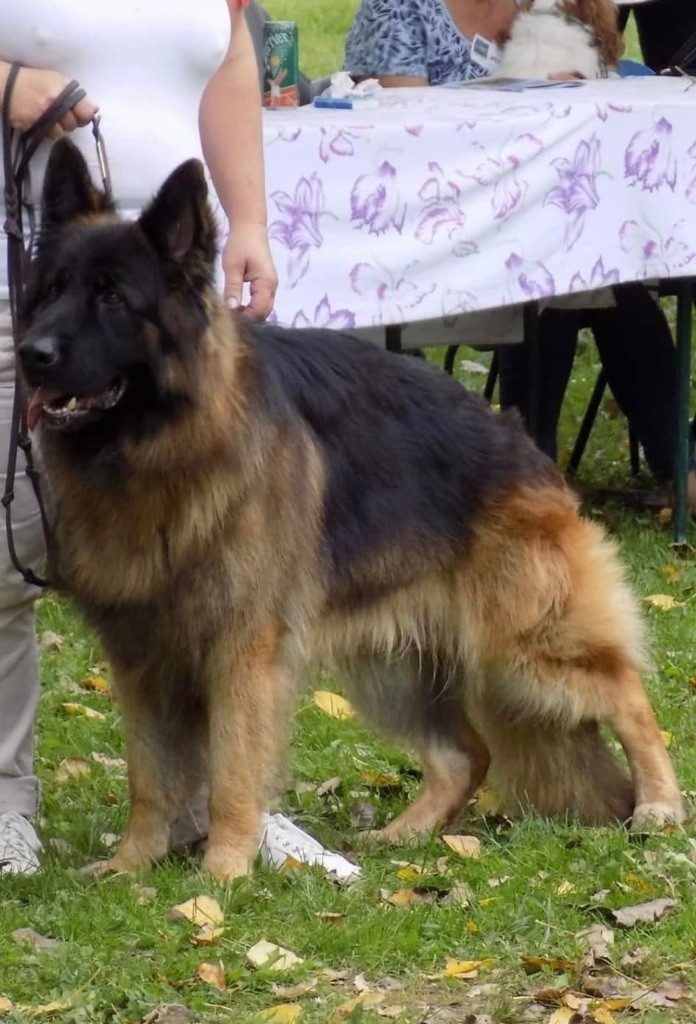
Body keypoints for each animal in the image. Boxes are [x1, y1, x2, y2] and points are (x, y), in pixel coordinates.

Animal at [19, 139, 684, 880]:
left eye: (112, 297)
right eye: (52, 290)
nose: (31, 354)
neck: (163, 447)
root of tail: (515, 435)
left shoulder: (242, 648)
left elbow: (231, 770)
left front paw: (222, 873)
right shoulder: (142, 656)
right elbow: (150, 776)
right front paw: (134, 865)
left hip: (525, 643)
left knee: (627, 695)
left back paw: (660, 805)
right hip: (392, 663)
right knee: (467, 754)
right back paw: (406, 837)